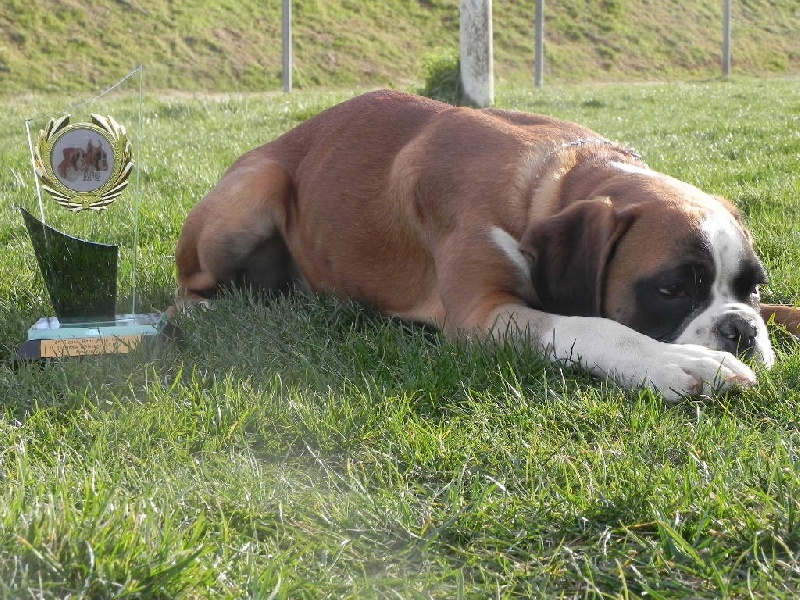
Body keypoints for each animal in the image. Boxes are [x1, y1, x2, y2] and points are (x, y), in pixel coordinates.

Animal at [177, 89, 800, 400]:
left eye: (752, 287)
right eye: (672, 289)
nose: (740, 331)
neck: (549, 186)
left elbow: (784, 309)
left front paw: (769, 323)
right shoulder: (482, 316)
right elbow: (591, 326)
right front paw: (682, 364)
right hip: (255, 190)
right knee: (189, 285)